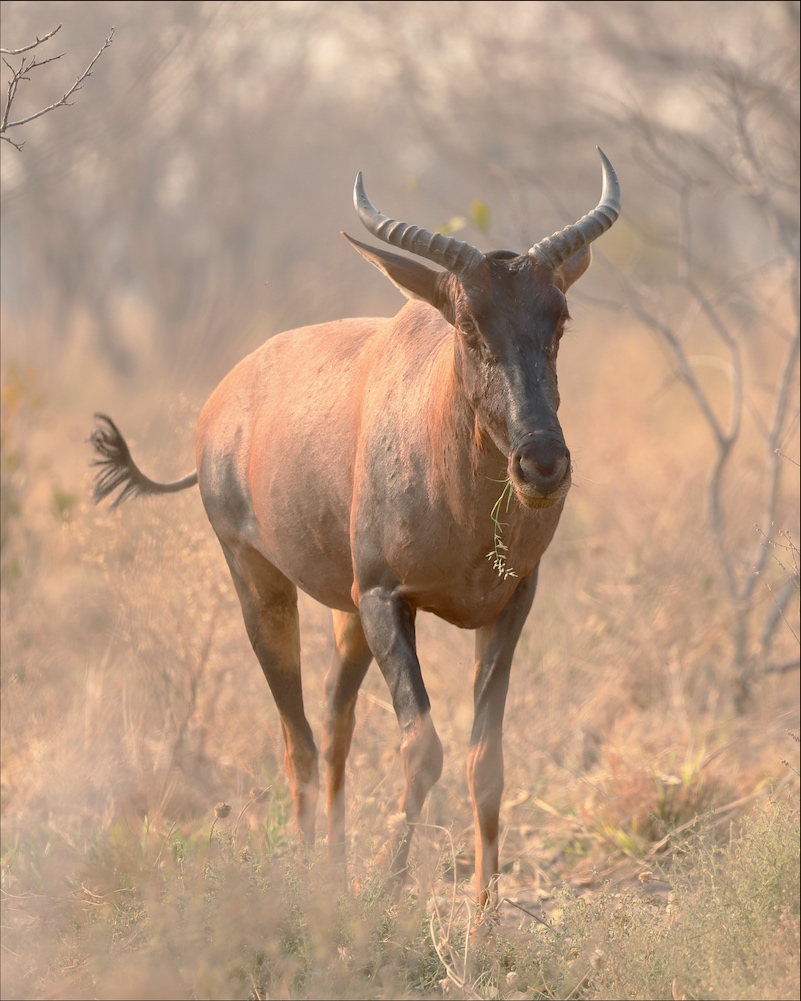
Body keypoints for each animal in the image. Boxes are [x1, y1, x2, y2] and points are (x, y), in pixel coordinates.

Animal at [91, 149, 620, 903]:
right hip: (261, 584)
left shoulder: (508, 605)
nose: (542, 464)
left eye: (559, 318)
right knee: (299, 740)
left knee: (335, 724)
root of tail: (222, 402)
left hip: (346, 617)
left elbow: (483, 759)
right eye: (468, 323)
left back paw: (334, 874)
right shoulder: (385, 600)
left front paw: (483, 917)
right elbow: (422, 747)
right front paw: (387, 893)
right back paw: (313, 881)